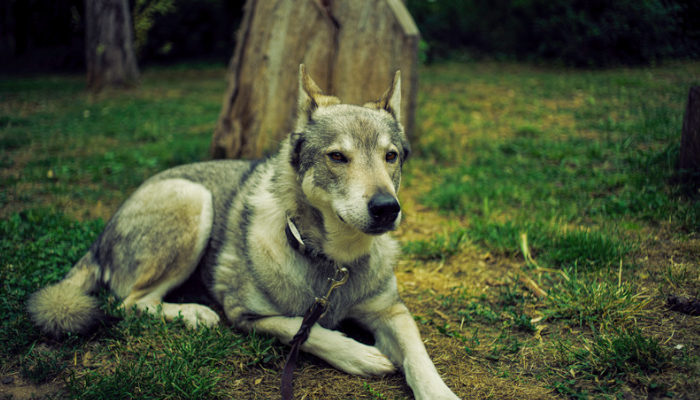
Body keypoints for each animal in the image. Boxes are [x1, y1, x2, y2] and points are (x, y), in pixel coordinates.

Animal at [28, 65, 460, 400]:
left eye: (391, 156)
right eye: (337, 156)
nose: (387, 208)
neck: (334, 266)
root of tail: (102, 234)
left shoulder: (392, 311)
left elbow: (419, 358)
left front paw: (438, 391)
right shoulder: (245, 314)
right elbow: (305, 329)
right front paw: (358, 354)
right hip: (194, 200)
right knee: (130, 302)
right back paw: (192, 313)